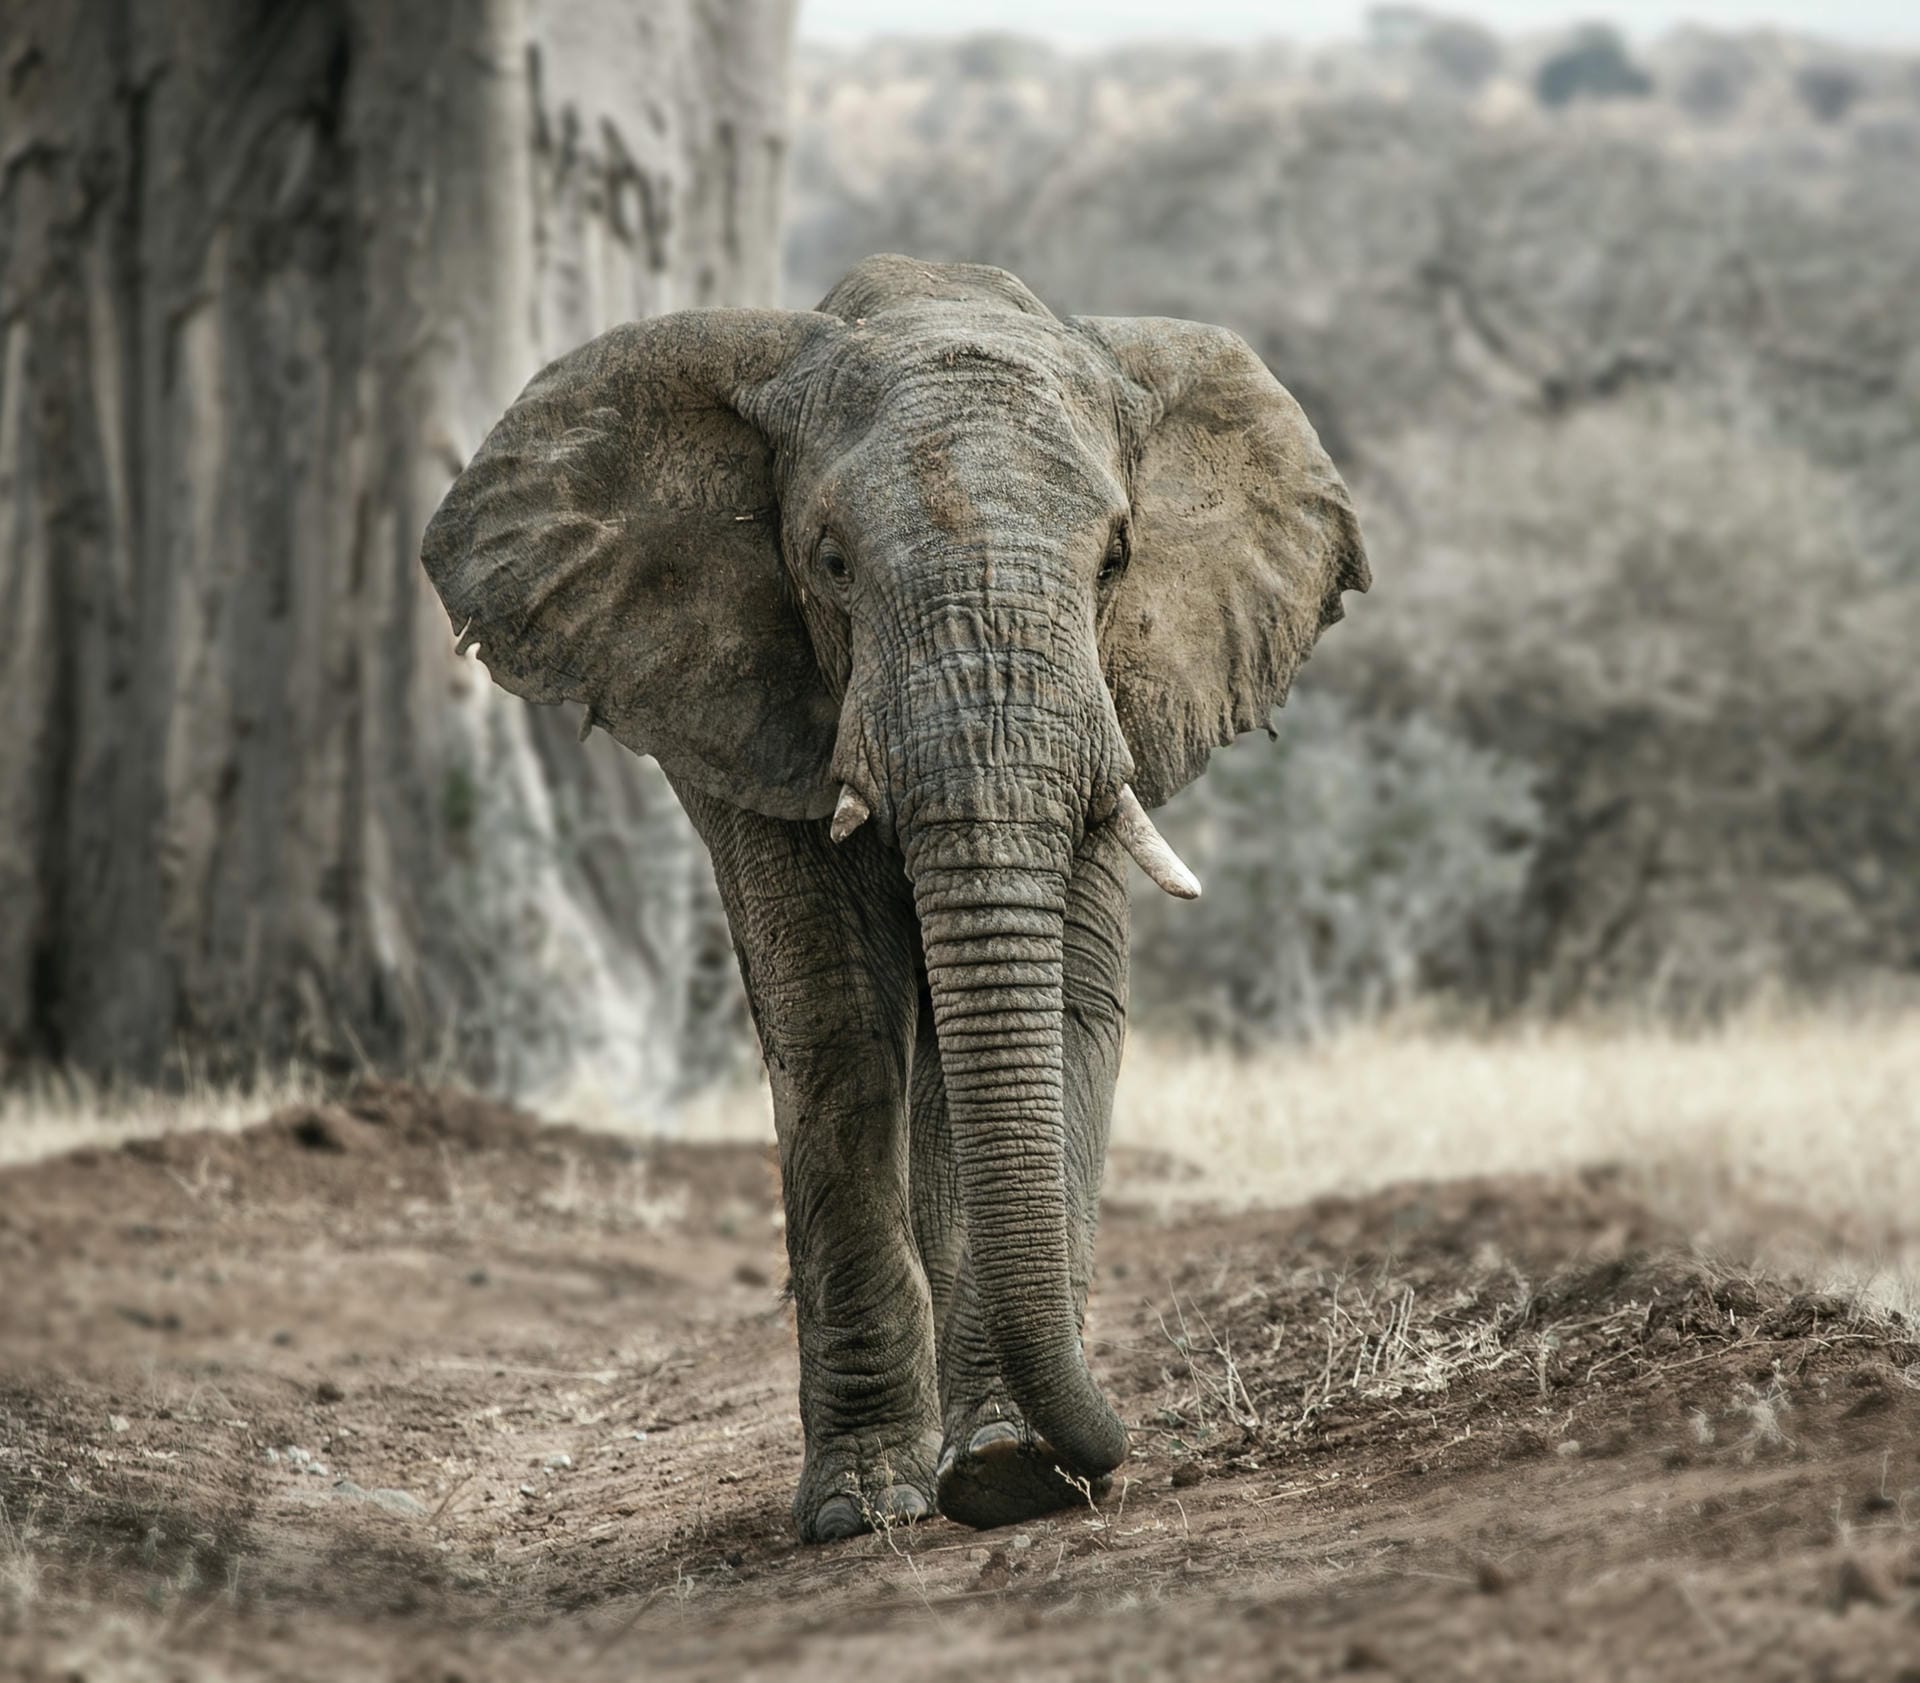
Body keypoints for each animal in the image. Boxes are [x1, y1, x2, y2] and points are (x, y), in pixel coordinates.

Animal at [420, 254, 1368, 1542]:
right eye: (828, 563)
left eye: (1117, 560)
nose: (1114, 1451)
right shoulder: (756, 708)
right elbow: (834, 1027)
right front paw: (869, 1507)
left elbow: (1055, 1008)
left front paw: (1013, 1472)